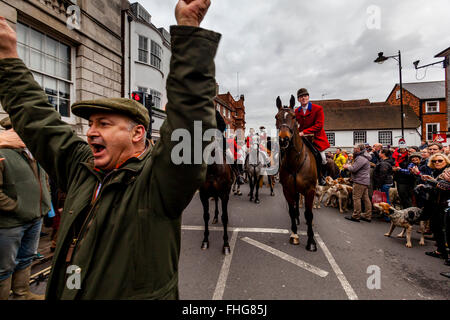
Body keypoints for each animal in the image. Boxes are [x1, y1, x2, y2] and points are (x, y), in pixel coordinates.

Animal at [276, 95, 318, 252]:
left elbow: (309, 214)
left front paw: (311, 241)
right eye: (276, 117)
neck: (295, 161)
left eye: (294, 117)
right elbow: (292, 211)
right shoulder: (287, 190)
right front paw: (294, 234)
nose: (284, 139)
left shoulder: (310, 190)